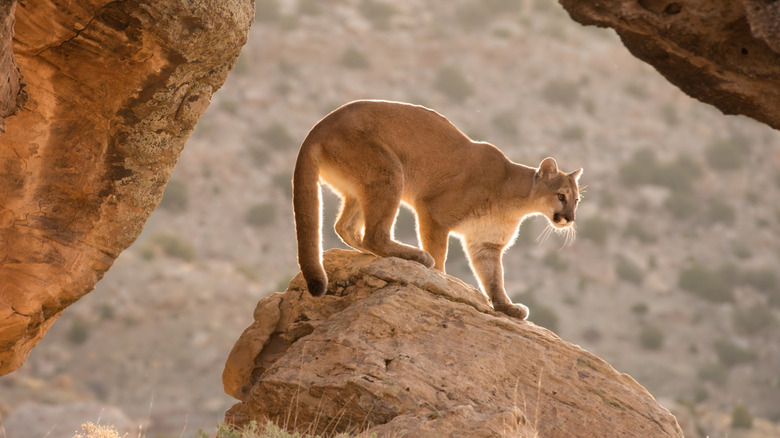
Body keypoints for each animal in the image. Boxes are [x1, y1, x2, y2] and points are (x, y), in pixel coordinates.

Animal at [290, 100, 580, 318]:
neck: (517, 202)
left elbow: (494, 278)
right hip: (390, 172)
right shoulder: (433, 211)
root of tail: (320, 126)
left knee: (346, 227)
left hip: (362, 186)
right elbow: (440, 253)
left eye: (576, 200)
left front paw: (506, 307)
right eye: (561, 196)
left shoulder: (485, 244)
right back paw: (416, 256)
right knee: (374, 234)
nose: (569, 218)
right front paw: (441, 279)